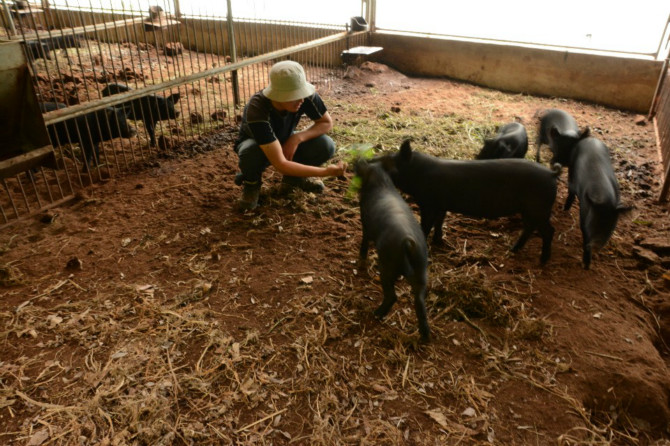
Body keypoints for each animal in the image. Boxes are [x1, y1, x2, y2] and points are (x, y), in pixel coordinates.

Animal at [356, 159, 430, 344]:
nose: (356, 161)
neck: (381, 181)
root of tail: (409, 242)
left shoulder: (366, 224)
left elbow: (364, 242)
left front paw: (361, 262)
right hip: (421, 270)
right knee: (420, 302)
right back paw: (425, 337)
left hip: (387, 265)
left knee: (392, 296)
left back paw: (376, 314)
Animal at [378, 140, 560, 264]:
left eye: (389, 163)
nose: (372, 162)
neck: (418, 173)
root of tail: (551, 174)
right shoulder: (441, 205)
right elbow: (439, 222)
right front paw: (439, 241)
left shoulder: (429, 204)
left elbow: (426, 225)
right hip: (529, 210)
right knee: (529, 228)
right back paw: (513, 249)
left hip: (539, 208)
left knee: (549, 231)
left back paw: (542, 261)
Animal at [564, 136, 632, 268]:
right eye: (593, 223)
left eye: (610, 226)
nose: (595, 246)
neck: (603, 197)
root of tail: (590, 138)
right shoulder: (584, 214)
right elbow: (584, 232)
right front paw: (586, 265)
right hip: (571, 167)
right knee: (570, 190)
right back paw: (565, 209)